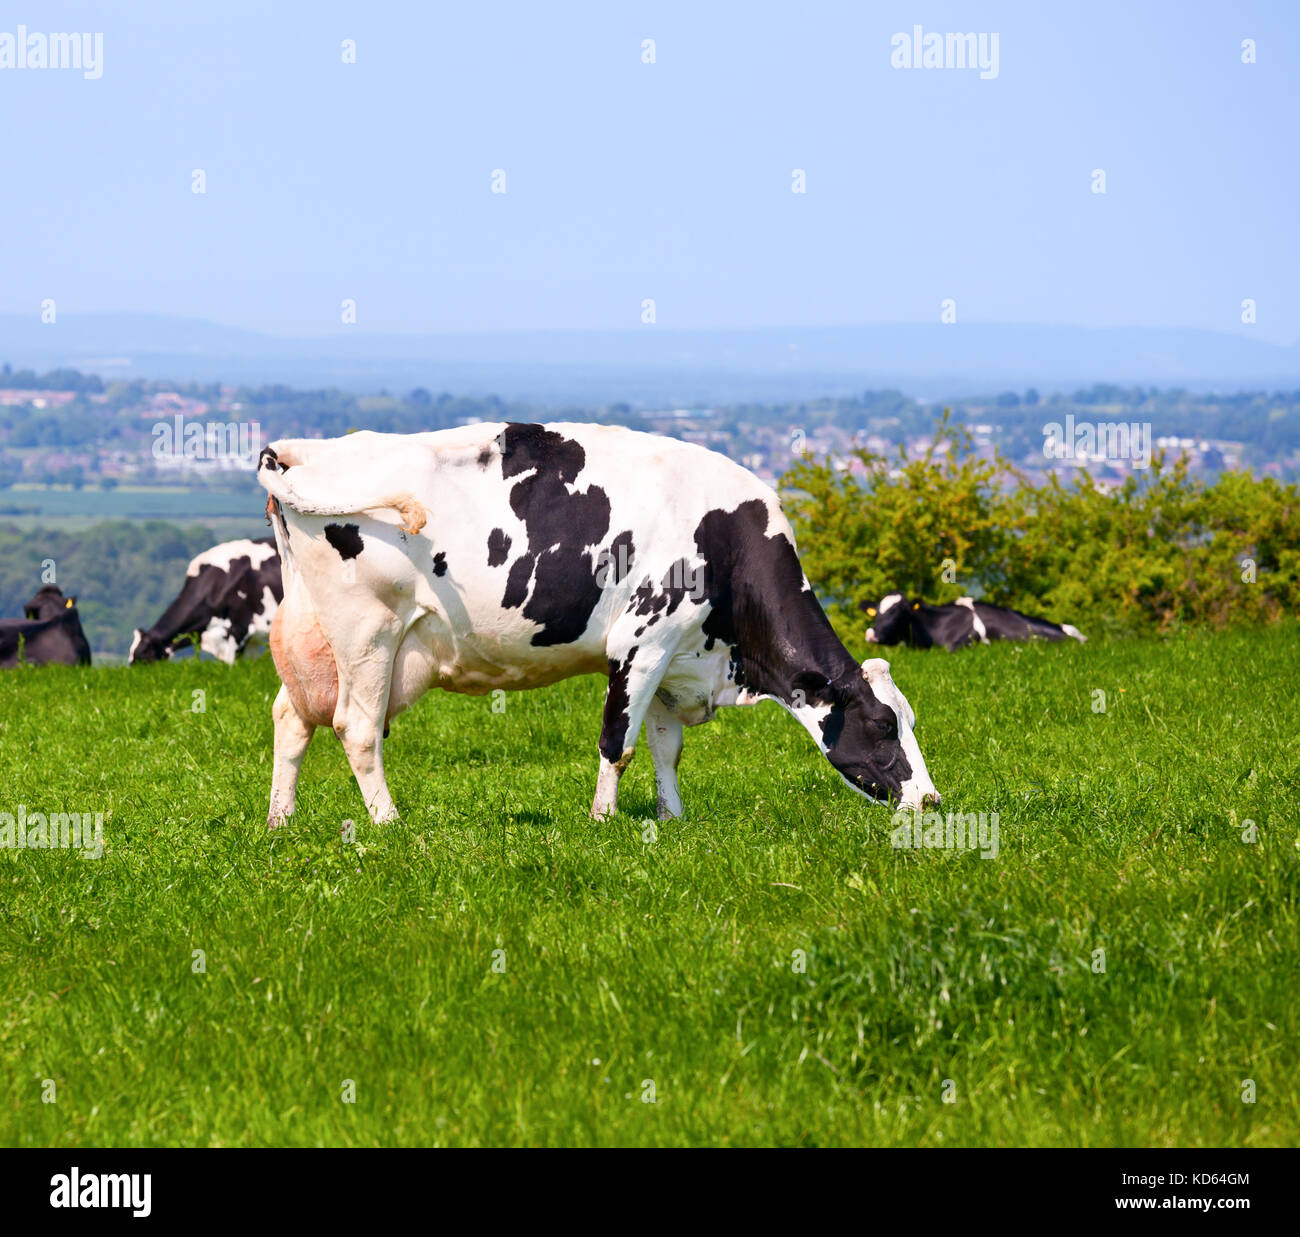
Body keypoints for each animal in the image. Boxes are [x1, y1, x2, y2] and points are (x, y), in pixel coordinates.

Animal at [257, 423, 940, 827]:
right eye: (883, 724)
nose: (931, 800)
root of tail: (302, 450)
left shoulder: (674, 656)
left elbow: (665, 745)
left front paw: (671, 818)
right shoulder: (641, 639)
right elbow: (620, 741)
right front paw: (604, 820)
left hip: (315, 639)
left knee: (291, 718)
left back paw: (280, 822)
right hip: (367, 632)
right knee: (357, 727)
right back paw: (388, 824)